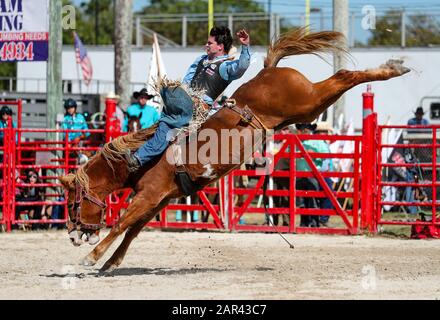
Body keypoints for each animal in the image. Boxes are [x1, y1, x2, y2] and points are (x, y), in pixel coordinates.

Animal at [57, 28, 410, 272]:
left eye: (73, 205)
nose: (72, 236)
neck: (142, 160)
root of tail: (269, 70)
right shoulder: (162, 199)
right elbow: (133, 230)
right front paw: (110, 263)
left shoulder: (148, 195)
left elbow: (120, 224)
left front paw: (91, 257)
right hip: (307, 109)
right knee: (338, 81)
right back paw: (393, 68)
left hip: (306, 101)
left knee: (343, 75)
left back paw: (393, 68)